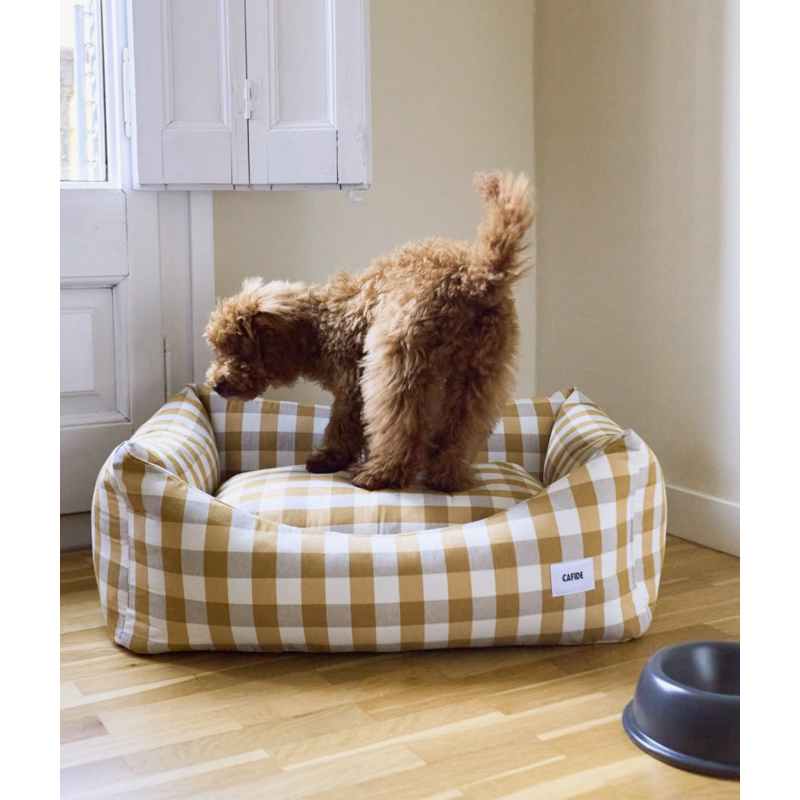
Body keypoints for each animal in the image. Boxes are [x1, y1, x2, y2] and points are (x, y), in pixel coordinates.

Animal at [205, 171, 535, 492]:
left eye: (237, 349)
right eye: (218, 349)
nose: (216, 384)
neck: (324, 324)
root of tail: (475, 277)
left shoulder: (352, 383)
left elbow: (343, 423)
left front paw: (329, 459)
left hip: (398, 362)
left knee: (403, 427)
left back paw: (381, 474)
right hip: (480, 373)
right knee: (462, 427)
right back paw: (445, 478)